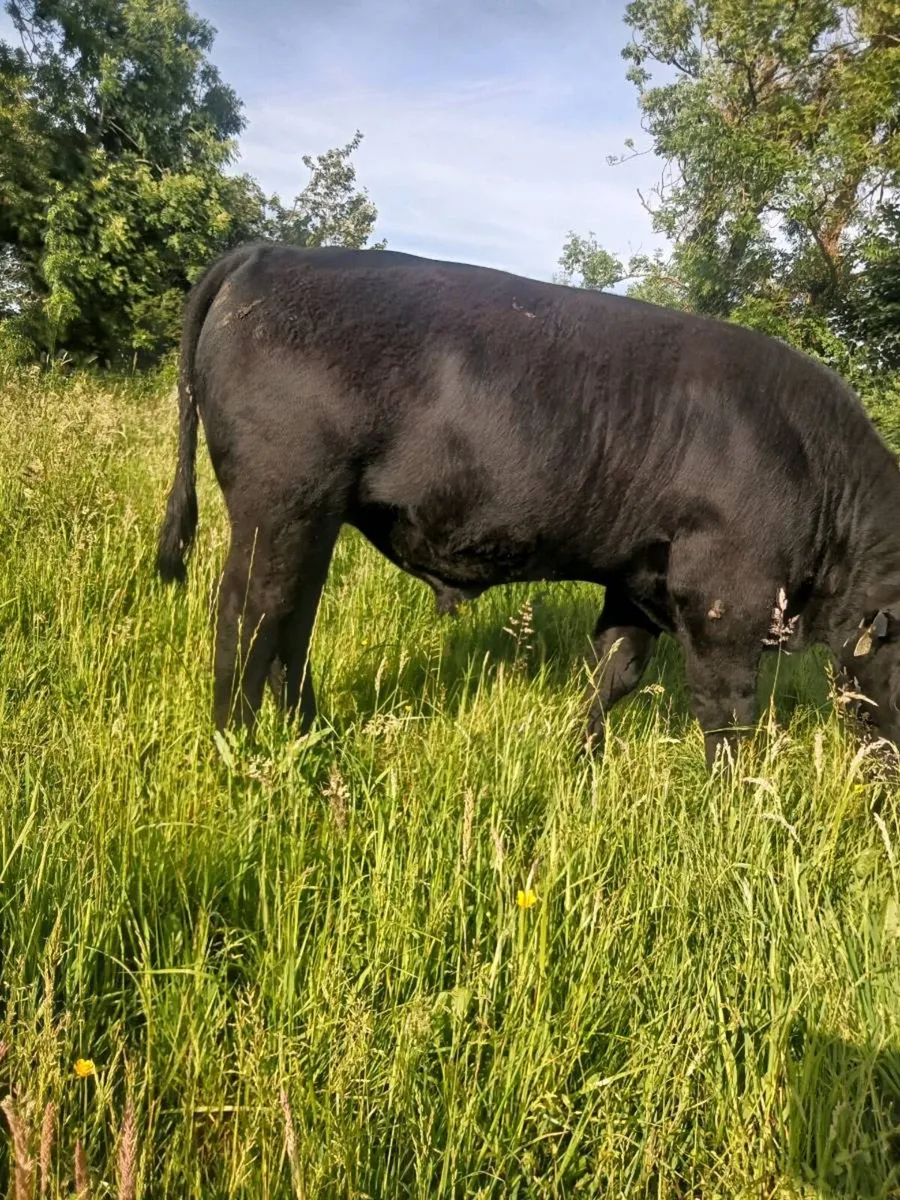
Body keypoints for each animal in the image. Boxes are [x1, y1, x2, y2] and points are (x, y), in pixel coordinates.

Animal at [155, 242, 900, 770]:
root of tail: (272, 252)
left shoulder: (638, 582)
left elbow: (614, 673)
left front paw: (581, 758)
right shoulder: (726, 601)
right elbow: (728, 709)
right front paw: (734, 801)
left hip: (313, 520)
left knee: (292, 624)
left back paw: (312, 732)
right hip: (280, 507)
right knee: (249, 618)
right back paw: (238, 750)